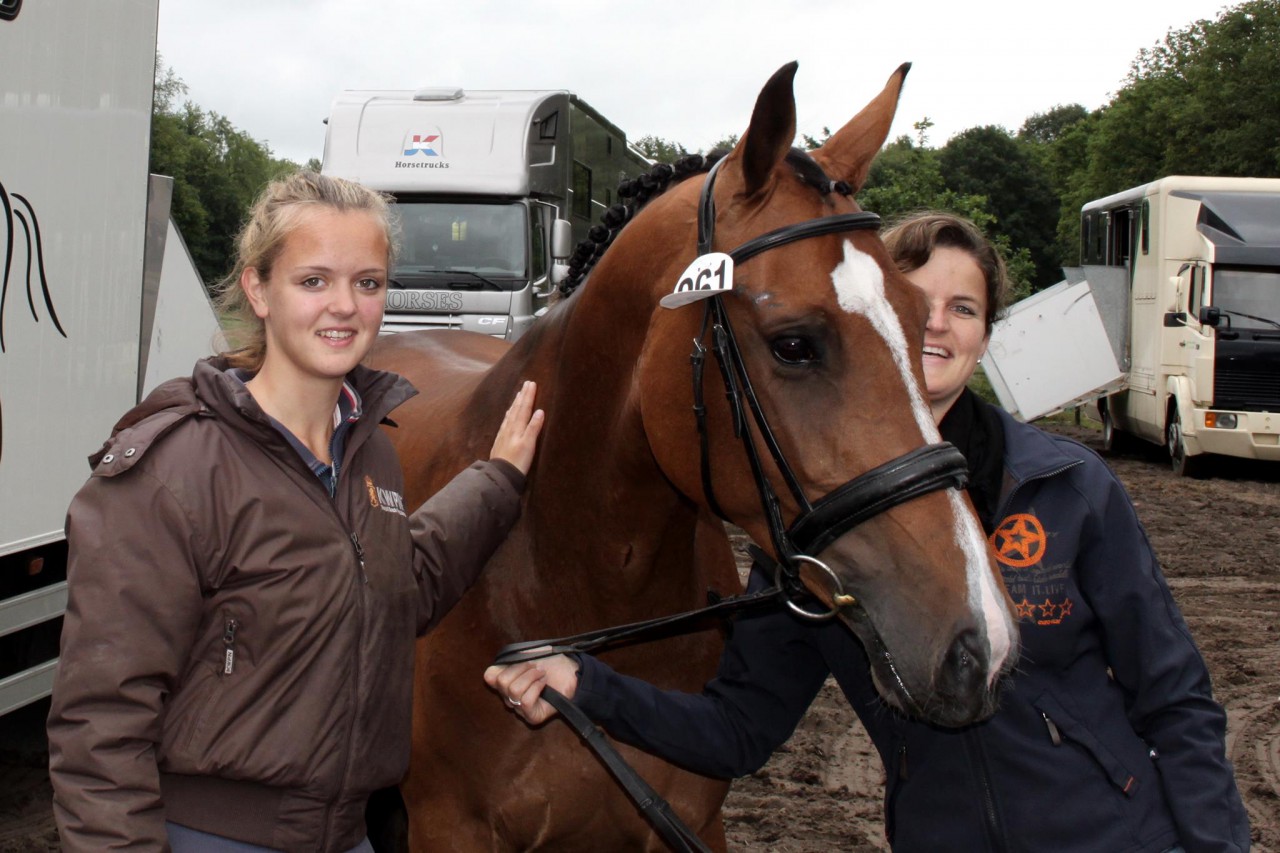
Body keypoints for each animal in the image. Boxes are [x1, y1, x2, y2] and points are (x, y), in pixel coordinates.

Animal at [371, 63, 1018, 845]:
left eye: (926, 321)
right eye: (793, 343)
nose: (979, 642)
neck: (572, 575)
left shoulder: (690, 820)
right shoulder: (451, 829)